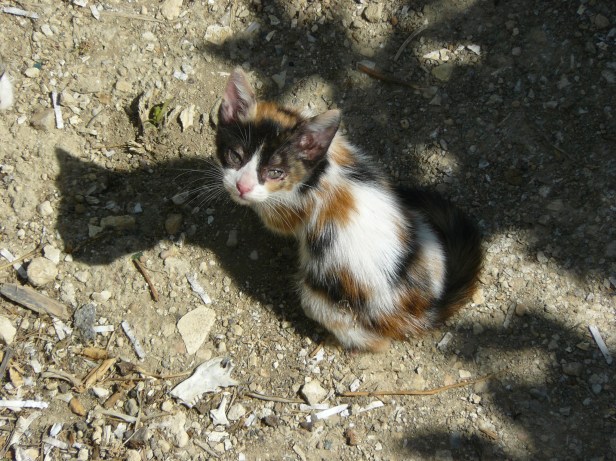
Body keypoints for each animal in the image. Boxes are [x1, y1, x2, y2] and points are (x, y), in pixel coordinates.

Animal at [215, 68, 483, 352]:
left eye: (276, 172)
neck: (319, 170)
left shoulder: (290, 209)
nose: (242, 186)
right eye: (235, 156)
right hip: (426, 234)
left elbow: (275, 219)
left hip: (325, 301)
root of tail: (422, 310)